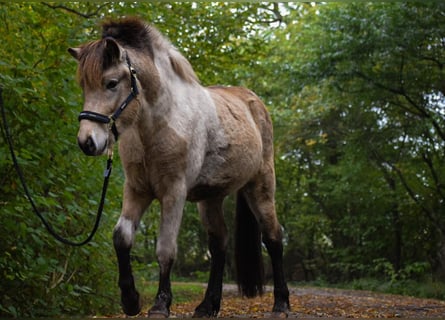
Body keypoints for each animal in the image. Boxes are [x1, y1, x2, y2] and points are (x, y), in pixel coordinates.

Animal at [68, 16, 290, 318]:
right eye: (84, 86)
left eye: (111, 83)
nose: (87, 142)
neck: (160, 123)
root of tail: (253, 102)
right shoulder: (137, 190)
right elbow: (122, 237)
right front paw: (130, 300)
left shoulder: (174, 192)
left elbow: (165, 249)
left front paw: (161, 304)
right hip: (211, 198)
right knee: (219, 244)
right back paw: (207, 305)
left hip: (261, 186)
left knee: (273, 238)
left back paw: (281, 304)